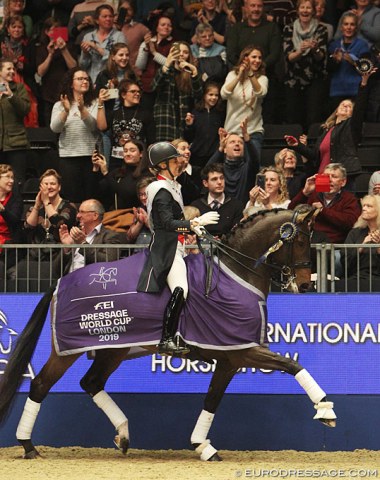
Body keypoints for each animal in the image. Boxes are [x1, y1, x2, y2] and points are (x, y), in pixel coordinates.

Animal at [0, 207, 336, 462]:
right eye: (301, 241)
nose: (305, 285)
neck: (235, 274)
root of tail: (60, 283)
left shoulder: (231, 359)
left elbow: (212, 400)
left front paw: (203, 446)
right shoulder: (244, 350)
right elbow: (292, 365)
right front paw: (325, 409)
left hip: (114, 349)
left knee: (91, 382)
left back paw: (123, 435)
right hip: (70, 349)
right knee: (41, 385)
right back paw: (28, 447)